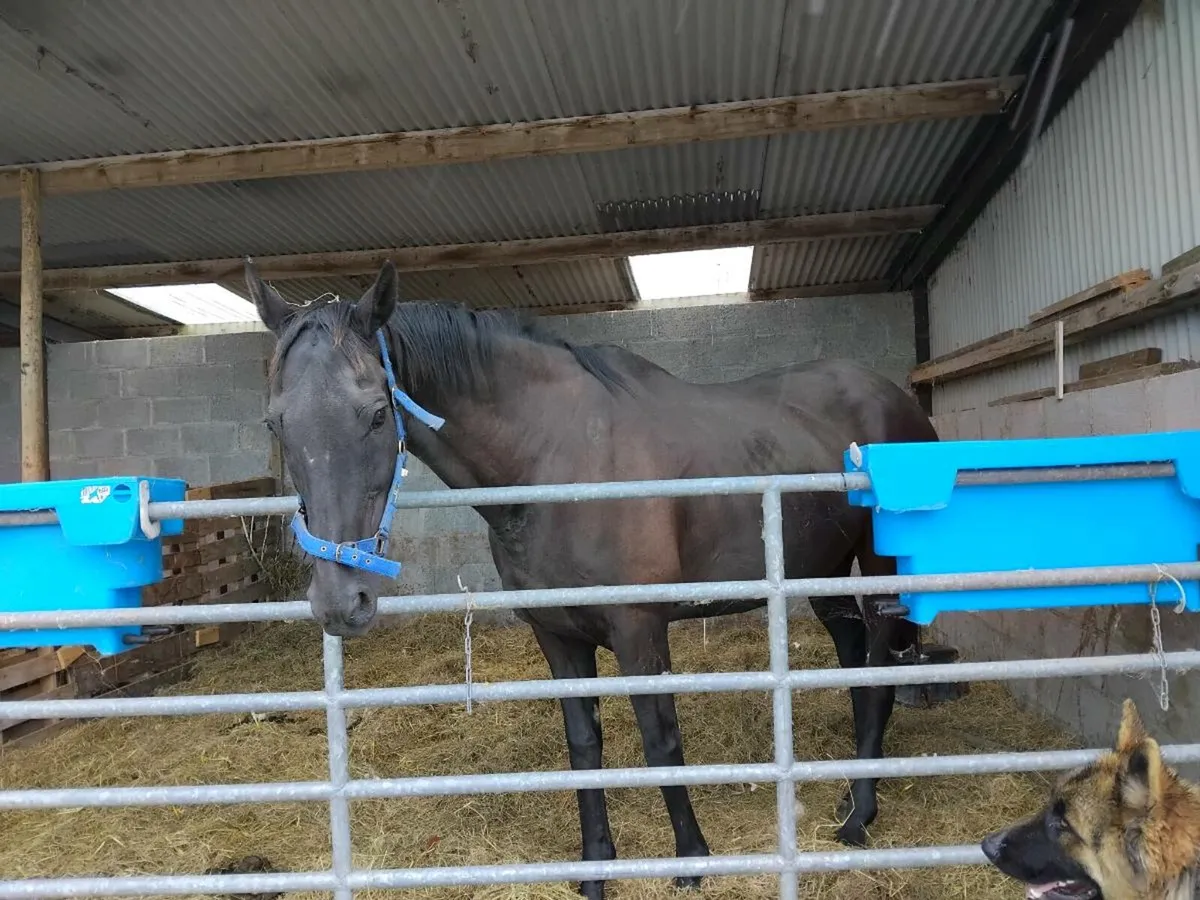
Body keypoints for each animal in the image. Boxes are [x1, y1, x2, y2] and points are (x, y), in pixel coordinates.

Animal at [245, 258, 938, 899]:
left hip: (880, 570)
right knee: (852, 660)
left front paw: (691, 861)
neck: (554, 458)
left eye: (373, 415)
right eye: (275, 423)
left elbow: (661, 740)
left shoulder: (639, 627)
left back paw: (859, 815)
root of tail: (897, 399)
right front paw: (596, 870)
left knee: (879, 666)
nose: (340, 601)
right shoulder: (558, 634)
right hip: (820, 569)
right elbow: (583, 746)